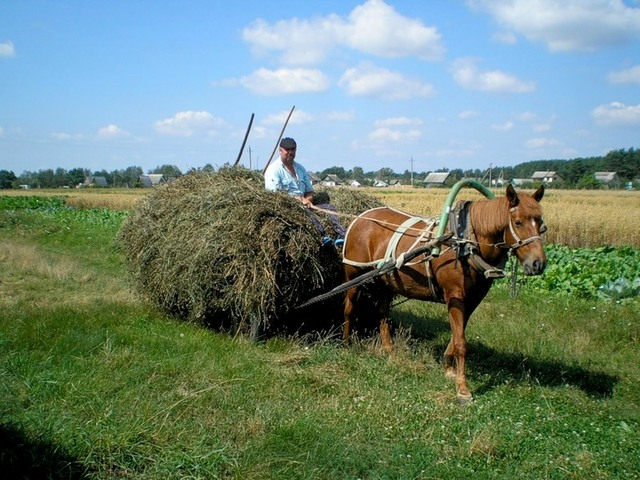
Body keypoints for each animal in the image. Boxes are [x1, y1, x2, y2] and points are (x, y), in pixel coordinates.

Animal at [342, 186, 548, 404]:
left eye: (540, 223)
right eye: (518, 222)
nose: (538, 263)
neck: (465, 243)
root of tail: (361, 217)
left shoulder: (472, 300)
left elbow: (457, 335)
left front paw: (448, 366)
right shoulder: (455, 297)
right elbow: (461, 342)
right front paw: (463, 389)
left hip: (385, 281)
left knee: (382, 313)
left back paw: (388, 348)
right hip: (354, 276)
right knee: (349, 307)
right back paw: (346, 342)